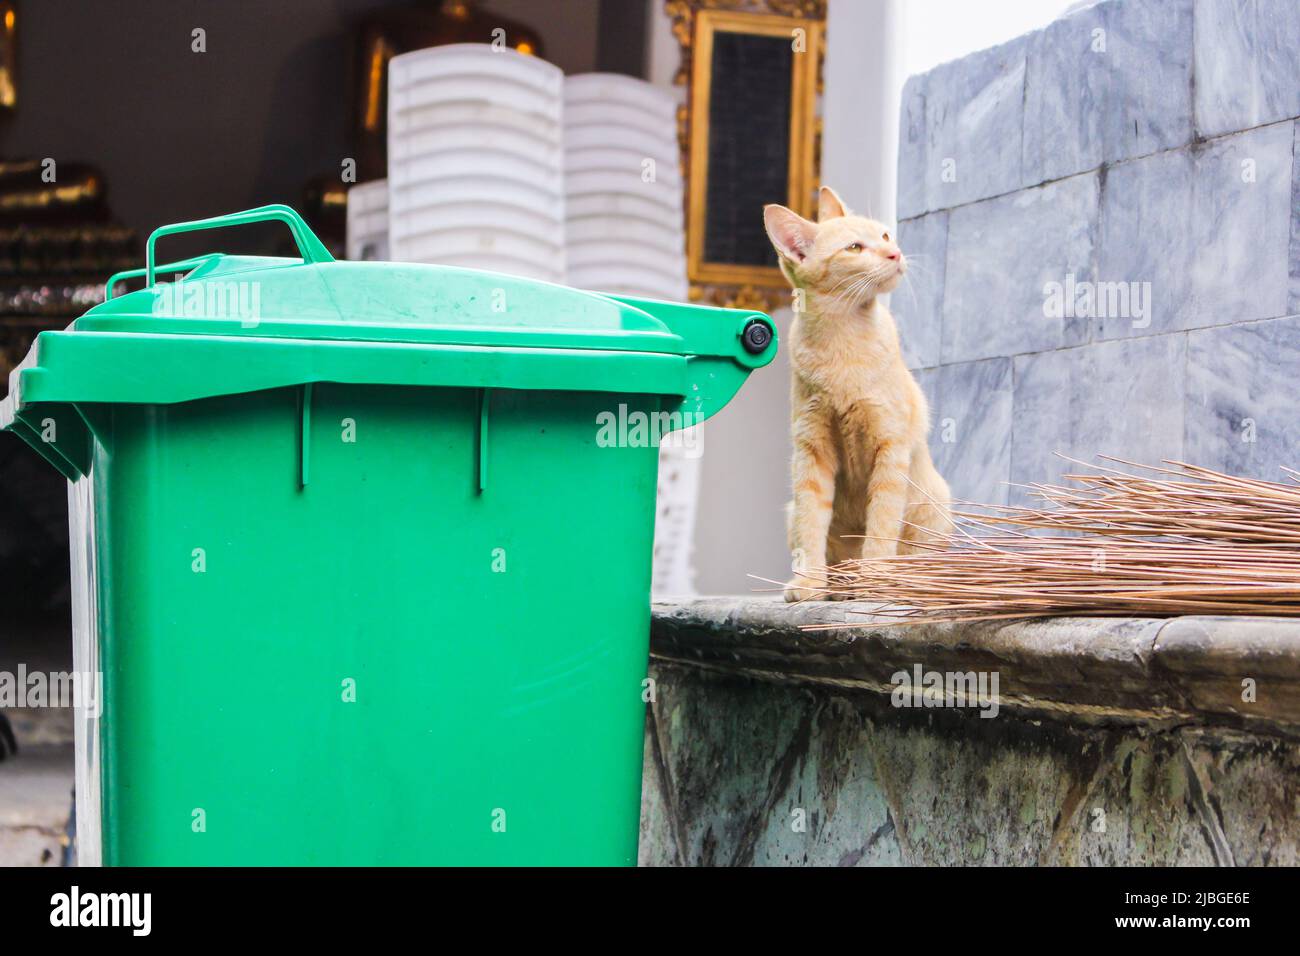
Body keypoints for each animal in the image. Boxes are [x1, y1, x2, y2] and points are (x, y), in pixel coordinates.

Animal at [759, 185, 956, 600]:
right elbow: (811, 525)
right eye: (854, 248)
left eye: (885, 236)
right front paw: (810, 584)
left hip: (936, 504)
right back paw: (839, 586)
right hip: (789, 511)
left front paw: (875, 581)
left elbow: (881, 526)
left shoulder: (890, 448)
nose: (895, 253)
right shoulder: (812, 451)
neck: (842, 340)